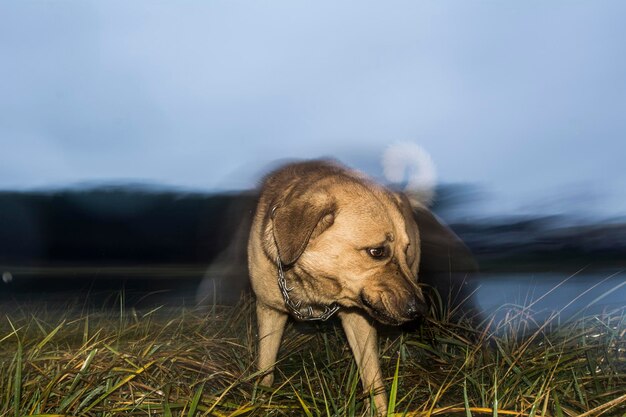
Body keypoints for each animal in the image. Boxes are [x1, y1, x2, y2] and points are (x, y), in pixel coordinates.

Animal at [245, 155, 434, 412]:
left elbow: (373, 378)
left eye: (405, 250)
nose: (421, 309)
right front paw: (260, 402)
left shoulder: (358, 319)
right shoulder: (269, 310)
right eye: (377, 251)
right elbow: (265, 367)